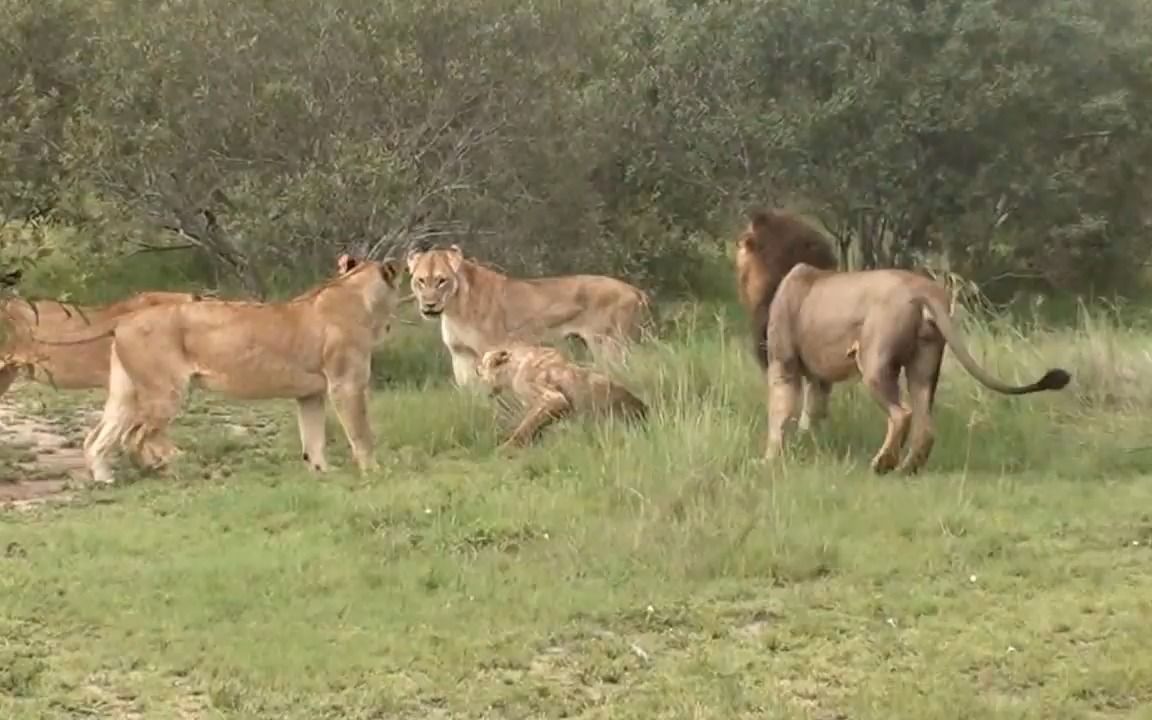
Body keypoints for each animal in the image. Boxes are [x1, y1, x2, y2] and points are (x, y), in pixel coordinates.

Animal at [78, 255, 403, 486]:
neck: (357, 293)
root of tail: (125, 319)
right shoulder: (345, 384)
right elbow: (361, 433)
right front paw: (375, 472)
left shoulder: (310, 395)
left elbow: (313, 437)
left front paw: (322, 472)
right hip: (167, 391)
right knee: (137, 436)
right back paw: (172, 467)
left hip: (126, 393)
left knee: (100, 436)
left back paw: (106, 477)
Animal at [407, 244, 654, 384]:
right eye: (421, 281)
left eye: (441, 281)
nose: (429, 305)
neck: (454, 309)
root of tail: (635, 290)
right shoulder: (460, 355)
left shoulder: (490, 351)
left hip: (609, 345)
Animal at [737, 210, 1069, 474]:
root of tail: (923, 291)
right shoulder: (819, 378)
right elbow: (812, 413)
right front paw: (809, 446)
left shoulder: (783, 363)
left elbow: (780, 415)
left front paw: (768, 460)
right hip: (924, 364)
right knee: (926, 424)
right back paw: (909, 467)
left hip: (874, 362)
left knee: (902, 414)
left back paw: (883, 463)